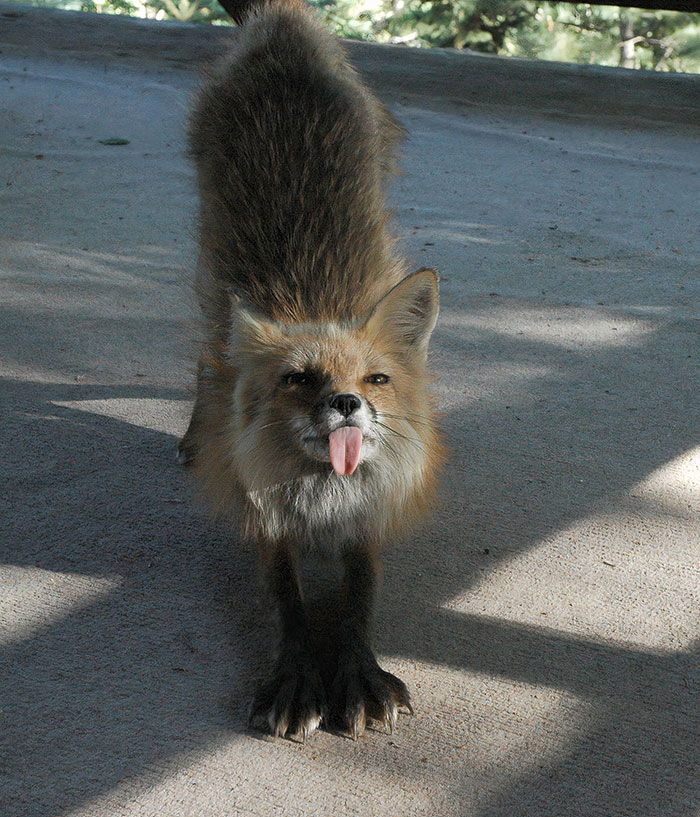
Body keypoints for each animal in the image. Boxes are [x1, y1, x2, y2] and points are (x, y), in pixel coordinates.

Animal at [179, 0, 444, 741]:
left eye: (377, 379)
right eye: (298, 378)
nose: (347, 403)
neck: (322, 498)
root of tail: (281, 23)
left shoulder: (369, 516)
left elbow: (360, 593)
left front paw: (356, 669)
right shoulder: (259, 509)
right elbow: (286, 597)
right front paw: (297, 675)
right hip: (209, 264)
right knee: (206, 356)